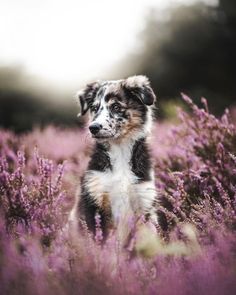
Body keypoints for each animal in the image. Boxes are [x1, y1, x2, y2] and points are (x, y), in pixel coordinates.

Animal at [70, 75, 159, 242]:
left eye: (116, 107)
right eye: (94, 108)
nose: (93, 128)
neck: (120, 151)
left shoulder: (143, 203)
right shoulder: (94, 200)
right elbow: (98, 240)